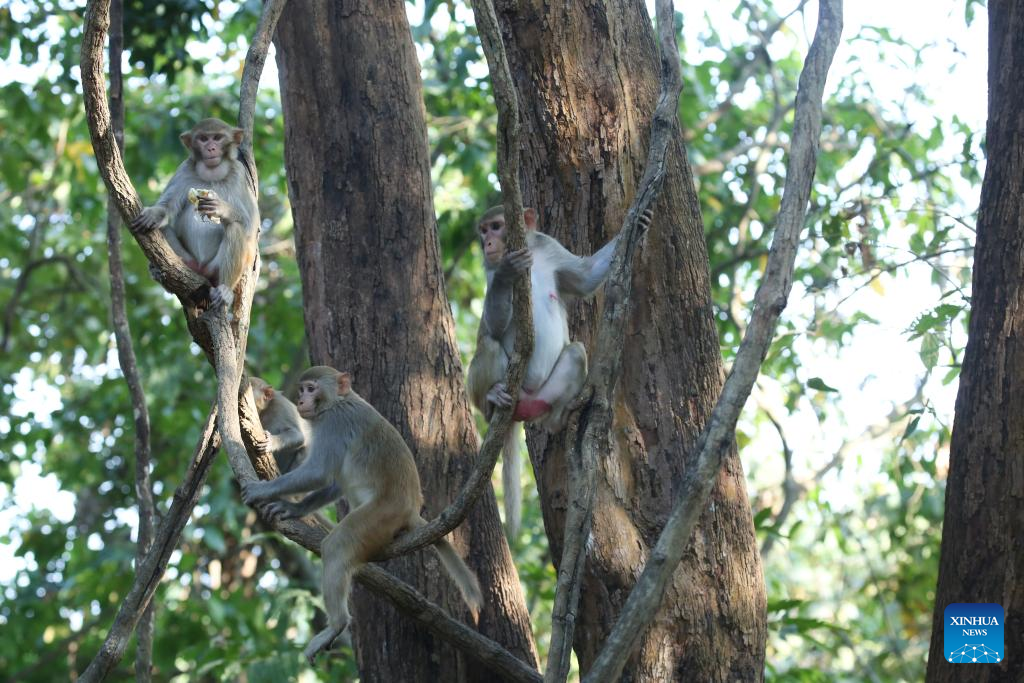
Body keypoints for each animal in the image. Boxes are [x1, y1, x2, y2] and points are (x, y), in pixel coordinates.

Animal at [131, 118, 259, 309]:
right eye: (203, 139)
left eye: (217, 138)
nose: (211, 148)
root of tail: (202, 269)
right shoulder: (184, 170)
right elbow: (167, 208)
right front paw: (153, 213)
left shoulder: (239, 174)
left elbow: (252, 225)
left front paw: (221, 208)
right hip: (188, 261)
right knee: (160, 229)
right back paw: (161, 273)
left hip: (214, 269)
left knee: (236, 229)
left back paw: (225, 289)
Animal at [241, 366, 483, 664]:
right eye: (301, 390)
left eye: (311, 388)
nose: (300, 401)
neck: (338, 401)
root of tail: (410, 510)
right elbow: (332, 479)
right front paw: (293, 508)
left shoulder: (334, 423)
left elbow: (319, 472)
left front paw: (262, 490)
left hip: (378, 516)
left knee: (336, 546)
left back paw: (337, 624)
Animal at [466, 204, 652, 538]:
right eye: (483, 230)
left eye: (496, 227)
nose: (487, 243)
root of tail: (520, 405)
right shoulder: (488, 269)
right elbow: (494, 326)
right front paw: (507, 273)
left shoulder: (547, 245)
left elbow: (585, 277)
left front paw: (640, 222)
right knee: (488, 342)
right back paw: (492, 398)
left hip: (541, 394)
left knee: (576, 352)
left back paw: (557, 419)